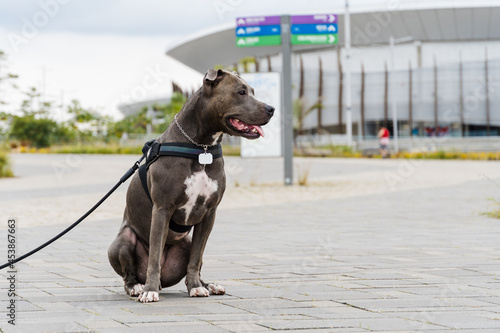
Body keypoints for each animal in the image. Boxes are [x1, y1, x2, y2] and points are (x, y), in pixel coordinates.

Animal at [108, 68, 276, 300]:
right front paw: (149, 291)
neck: (201, 146)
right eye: (241, 91)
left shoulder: (209, 213)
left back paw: (207, 284)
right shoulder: (162, 209)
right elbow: (154, 257)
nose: (271, 109)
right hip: (123, 240)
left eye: (252, 91)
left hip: (185, 241)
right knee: (130, 273)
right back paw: (139, 286)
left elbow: (197, 257)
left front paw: (196, 286)